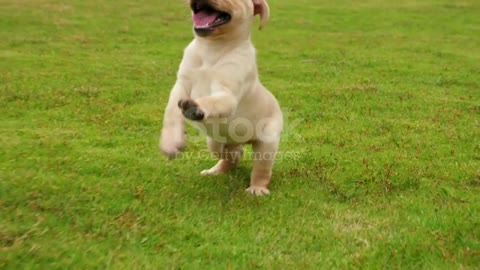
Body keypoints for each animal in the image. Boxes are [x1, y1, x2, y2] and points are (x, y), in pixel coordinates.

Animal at [159, 0, 284, 195]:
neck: (211, 48)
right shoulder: (180, 86)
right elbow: (171, 115)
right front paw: (170, 142)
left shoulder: (227, 94)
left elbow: (213, 101)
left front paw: (196, 108)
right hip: (215, 141)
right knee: (231, 154)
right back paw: (216, 170)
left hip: (267, 142)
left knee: (261, 169)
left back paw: (257, 188)